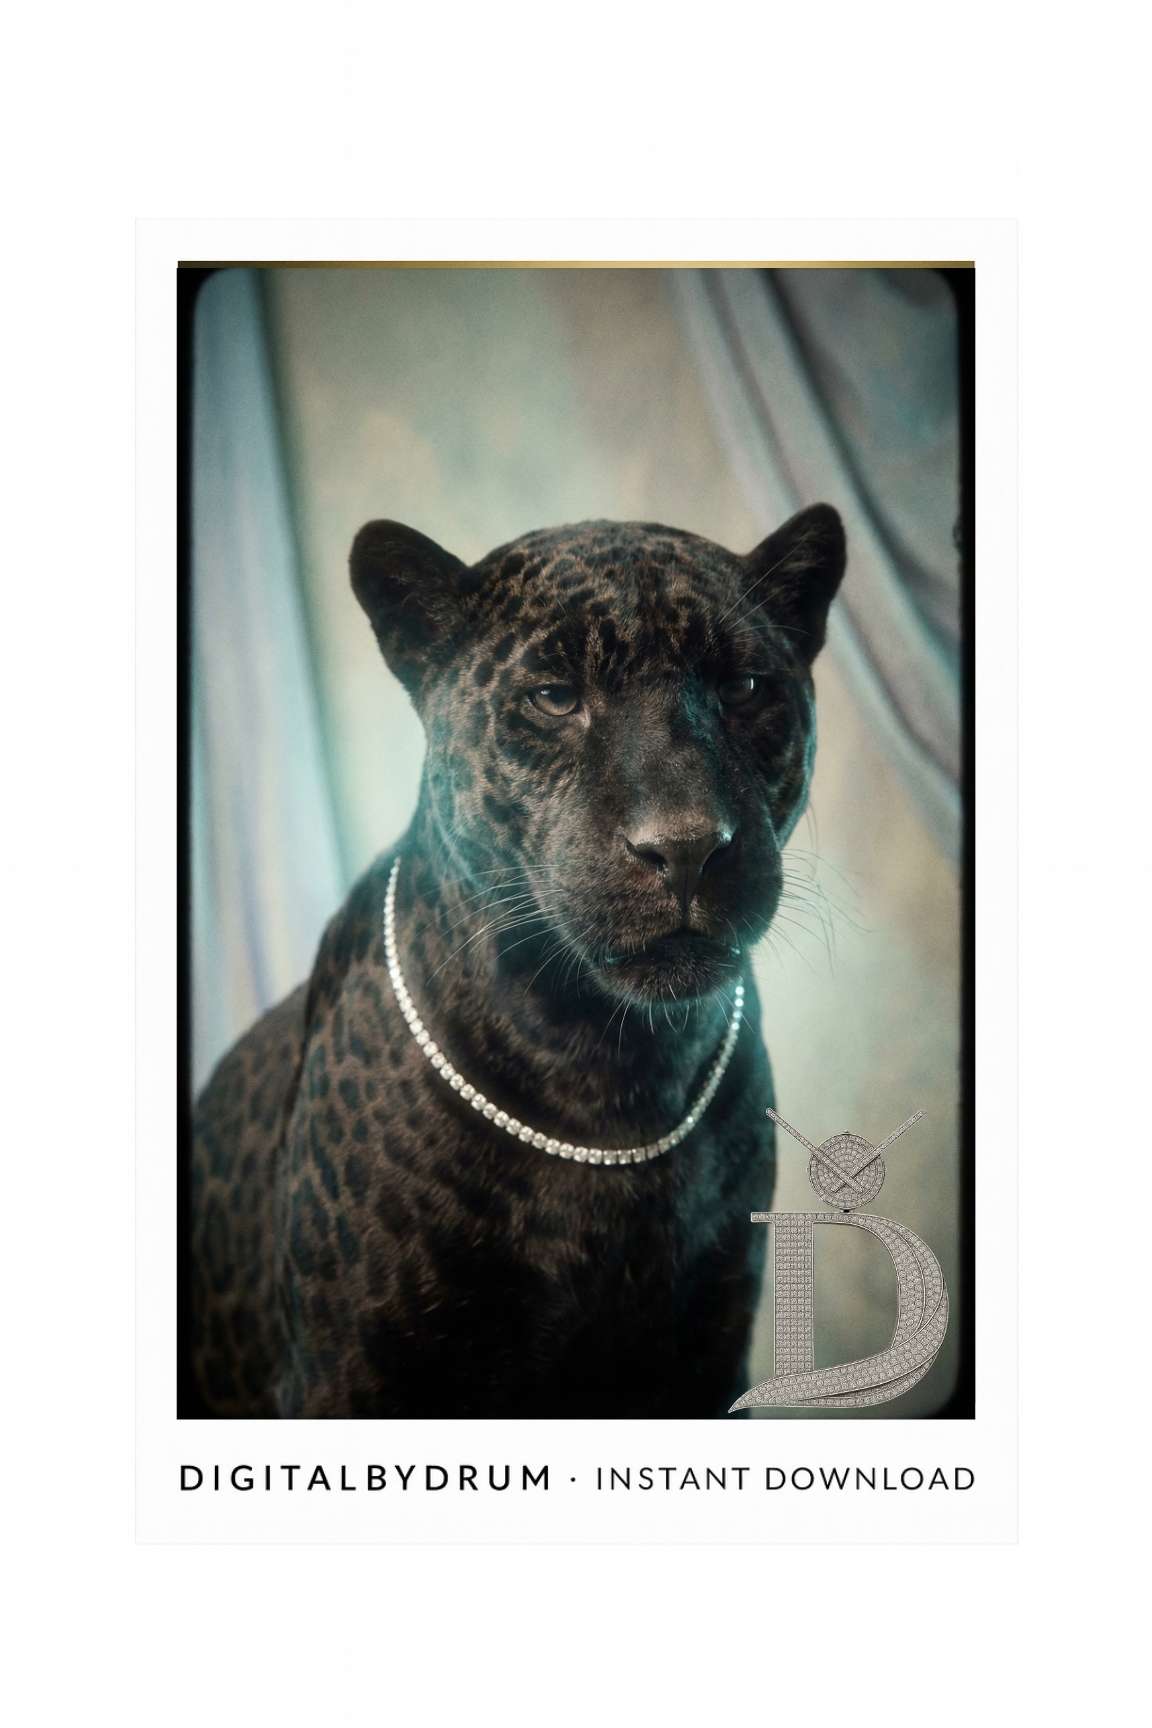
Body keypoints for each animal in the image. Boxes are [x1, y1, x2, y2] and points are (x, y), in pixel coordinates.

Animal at [187, 504, 846, 1418]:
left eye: (744, 688)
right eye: (556, 697)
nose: (684, 847)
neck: (606, 1073)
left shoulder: (707, 1351)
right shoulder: (350, 1370)